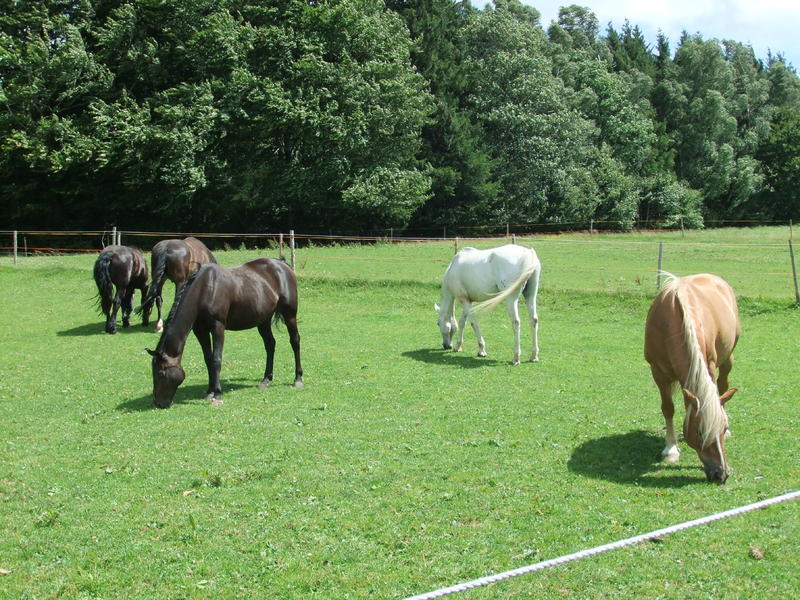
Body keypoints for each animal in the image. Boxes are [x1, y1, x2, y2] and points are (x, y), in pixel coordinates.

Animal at [145, 258, 304, 408]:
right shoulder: (200, 330)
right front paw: (209, 392)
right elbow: (208, 359)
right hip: (263, 320)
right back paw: (266, 380)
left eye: (160, 373)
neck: (204, 290)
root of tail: (282, 265)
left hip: (289, 314)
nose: (158, 403)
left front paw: (217, 395)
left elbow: (216, 360)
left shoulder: (218, 327)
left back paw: (298, 379)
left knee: (295, 341)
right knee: (270, 344)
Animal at [640, 272, 740, 482]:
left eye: (722, 427)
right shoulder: (657, 372)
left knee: (723, 386)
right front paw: (670, 450)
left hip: (728, 358)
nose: (721, 473)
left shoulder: (709, 366)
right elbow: (668, 408)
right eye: (699, 432)